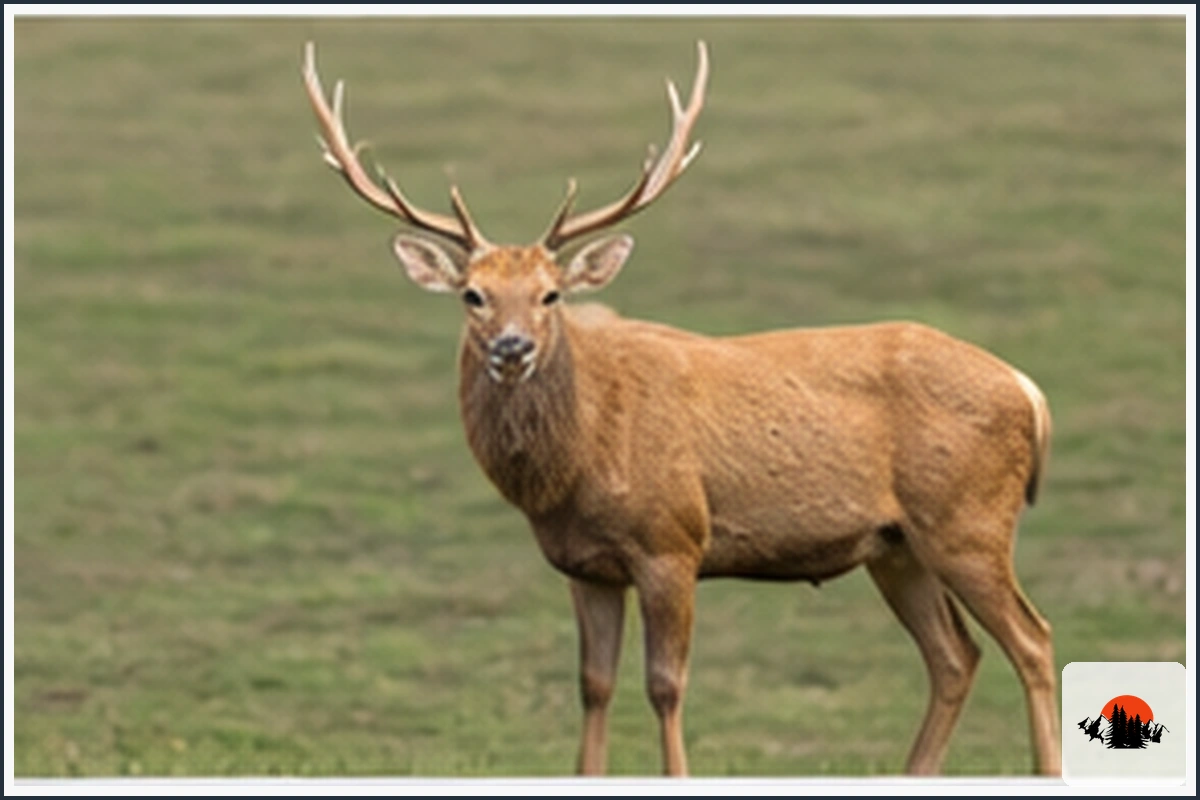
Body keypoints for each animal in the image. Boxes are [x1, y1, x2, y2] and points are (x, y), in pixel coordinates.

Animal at [302, 41, 1061, 777]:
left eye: (551, 294)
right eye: (473, 295)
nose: (512, 348)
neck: (573, 469)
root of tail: (1029, 390)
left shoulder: (672, 541)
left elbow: (665, 685)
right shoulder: (583, 565)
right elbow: (593, 685)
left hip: (968, 522)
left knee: (1032, 638)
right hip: (897, 544)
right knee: (955, 656)